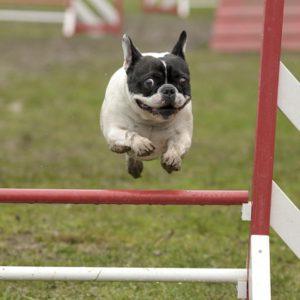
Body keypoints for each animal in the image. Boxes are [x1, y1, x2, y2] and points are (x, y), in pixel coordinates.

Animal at [101, 31, 193, 178]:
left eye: (183, 80)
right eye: (149, 82)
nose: (169, 89)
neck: (151, 119)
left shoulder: (183, 135)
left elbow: (176, 145)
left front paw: (173, 157)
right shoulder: (113, 130)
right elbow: (129, 133)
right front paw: (141, 143)